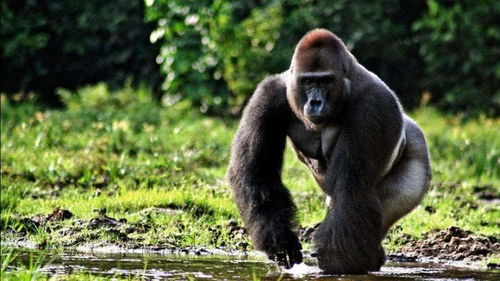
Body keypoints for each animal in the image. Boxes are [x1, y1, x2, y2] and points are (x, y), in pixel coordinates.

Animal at [227, 29, 430, 274]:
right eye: (308, 81)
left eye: (325, 81)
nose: (315, 102)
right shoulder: (268, 95)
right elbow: (257, 172)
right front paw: (281, 242)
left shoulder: (374, 104)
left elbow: (351, 188)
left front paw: (339, 262)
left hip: (417, 153)